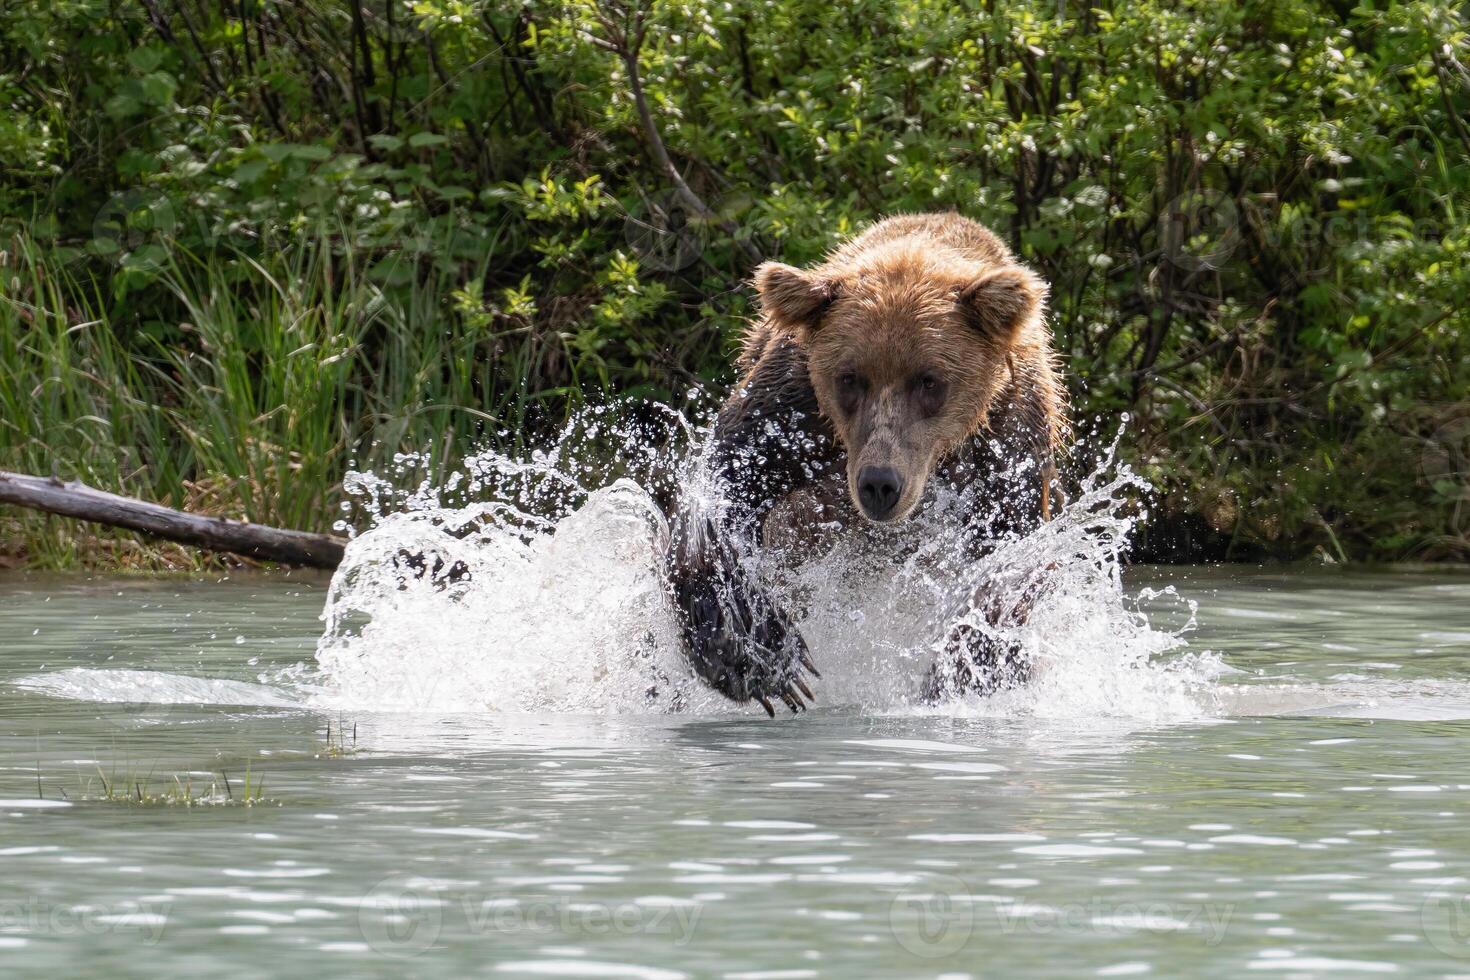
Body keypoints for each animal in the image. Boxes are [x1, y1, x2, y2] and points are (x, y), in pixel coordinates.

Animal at [670, 211, 1070, 717]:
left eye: (929, 381)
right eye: (849, 378)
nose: (880, 484)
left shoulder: (1007, 440)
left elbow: (1009, 555)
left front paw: (963, 668)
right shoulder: (791, 411)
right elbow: (725, 490)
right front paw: (762, 655)